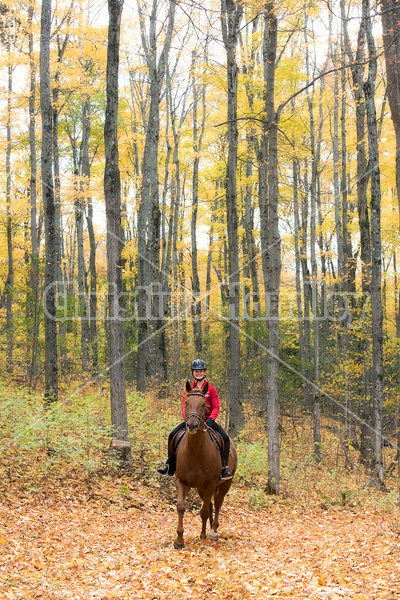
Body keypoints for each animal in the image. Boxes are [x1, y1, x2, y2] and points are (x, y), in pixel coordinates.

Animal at [173, 382, 238, 552]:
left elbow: (203, 511)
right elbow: (181, 507)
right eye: (186, 403)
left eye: (203, 404)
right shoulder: (182, 481)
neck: (196, 451)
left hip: (224, 484)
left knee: (218, 504)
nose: (192, 425)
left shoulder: (210, 484)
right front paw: (179, 540)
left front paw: (202, 540)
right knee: (210, 505)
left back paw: (213, 532)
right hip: (201, 489)